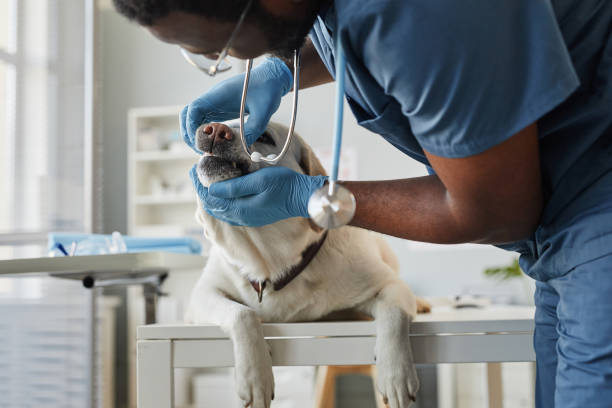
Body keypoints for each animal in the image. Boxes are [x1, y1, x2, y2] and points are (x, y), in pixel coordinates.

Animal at [186, 119, 430, 406]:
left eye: (264, 136)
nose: (213, 129)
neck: (269, 262)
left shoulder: (388, 284)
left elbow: (394, 314)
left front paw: (396, 375)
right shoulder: (202, 295)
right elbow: (242, 313)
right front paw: (254, 376)